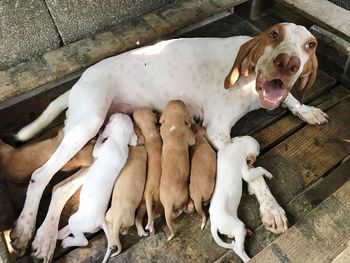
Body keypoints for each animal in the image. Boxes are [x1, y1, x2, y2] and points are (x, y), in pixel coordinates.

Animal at [56, 114, 136, 253]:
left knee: (82, 240)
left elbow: (97, 147)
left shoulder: (101, 149)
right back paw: (60, 234)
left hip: (76, 221)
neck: (120, 143)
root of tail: (100, 220)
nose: (111, 114)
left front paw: (100, 134)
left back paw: (65, 241)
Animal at [160, 100, 196, 241]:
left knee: (174, 215)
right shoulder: (188, 135)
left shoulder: (163, 128)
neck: (173, 122)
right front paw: (191, 123)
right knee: (182, 209)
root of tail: (168, 202)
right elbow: (192, 139)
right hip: (184, 196)